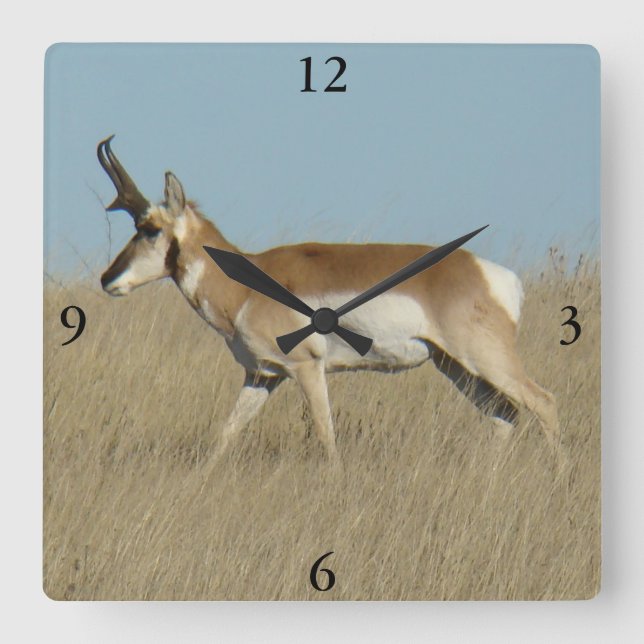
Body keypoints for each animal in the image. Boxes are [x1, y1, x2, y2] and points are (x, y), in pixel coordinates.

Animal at [97, 136, 559, 462]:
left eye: (149, 228)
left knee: (543, 402)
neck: (245, 283)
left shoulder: (307, 369)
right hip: (455, 366)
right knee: (505, 414)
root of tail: (491, 272)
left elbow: (325, 436)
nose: (107, 279)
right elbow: (225, 434)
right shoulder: (262, 376)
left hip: (484, 360)